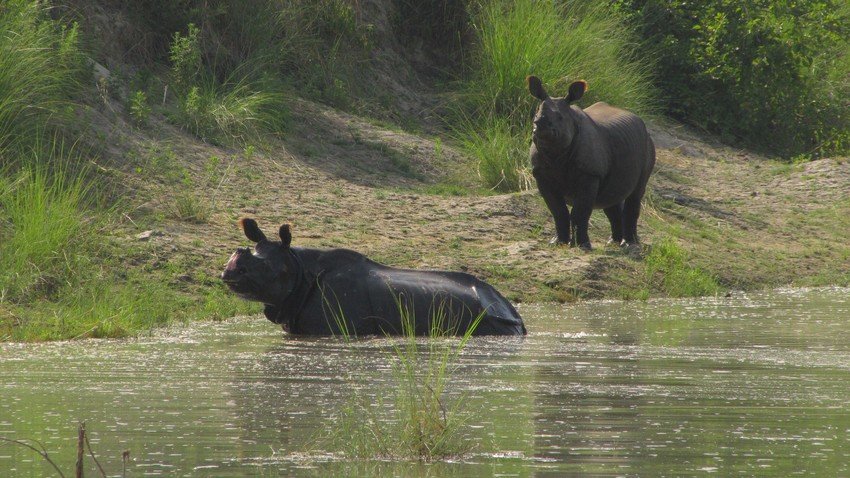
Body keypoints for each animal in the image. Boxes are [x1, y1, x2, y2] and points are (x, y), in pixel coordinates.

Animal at [524, 74, 656, 250]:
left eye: (560, 118)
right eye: (535, 116)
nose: (540, 125)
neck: (555, 153)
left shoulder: (590, 173)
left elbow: (580, 211)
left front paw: (582, 246)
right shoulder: (541, 174)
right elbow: (558, 211)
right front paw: (557, 243)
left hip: (647, 144)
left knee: (635, 194)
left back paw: (629, 244)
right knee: (611, 197)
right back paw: (613, 242)